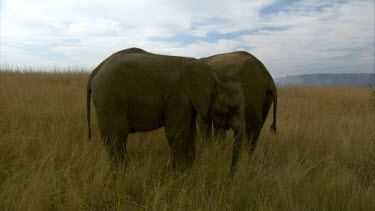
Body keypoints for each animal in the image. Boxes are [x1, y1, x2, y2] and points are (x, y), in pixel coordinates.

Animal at [87, 47, 247, 173]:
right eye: (230, 108)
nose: (230, 175)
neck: (214, 74)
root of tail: (96, 70)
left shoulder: (188, 102)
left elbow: (191, 134)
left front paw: (188, 174)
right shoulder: (178, 97)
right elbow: (176, 134)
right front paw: (178, 176)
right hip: (110, 97)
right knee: (116, 138)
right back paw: (121, 176)